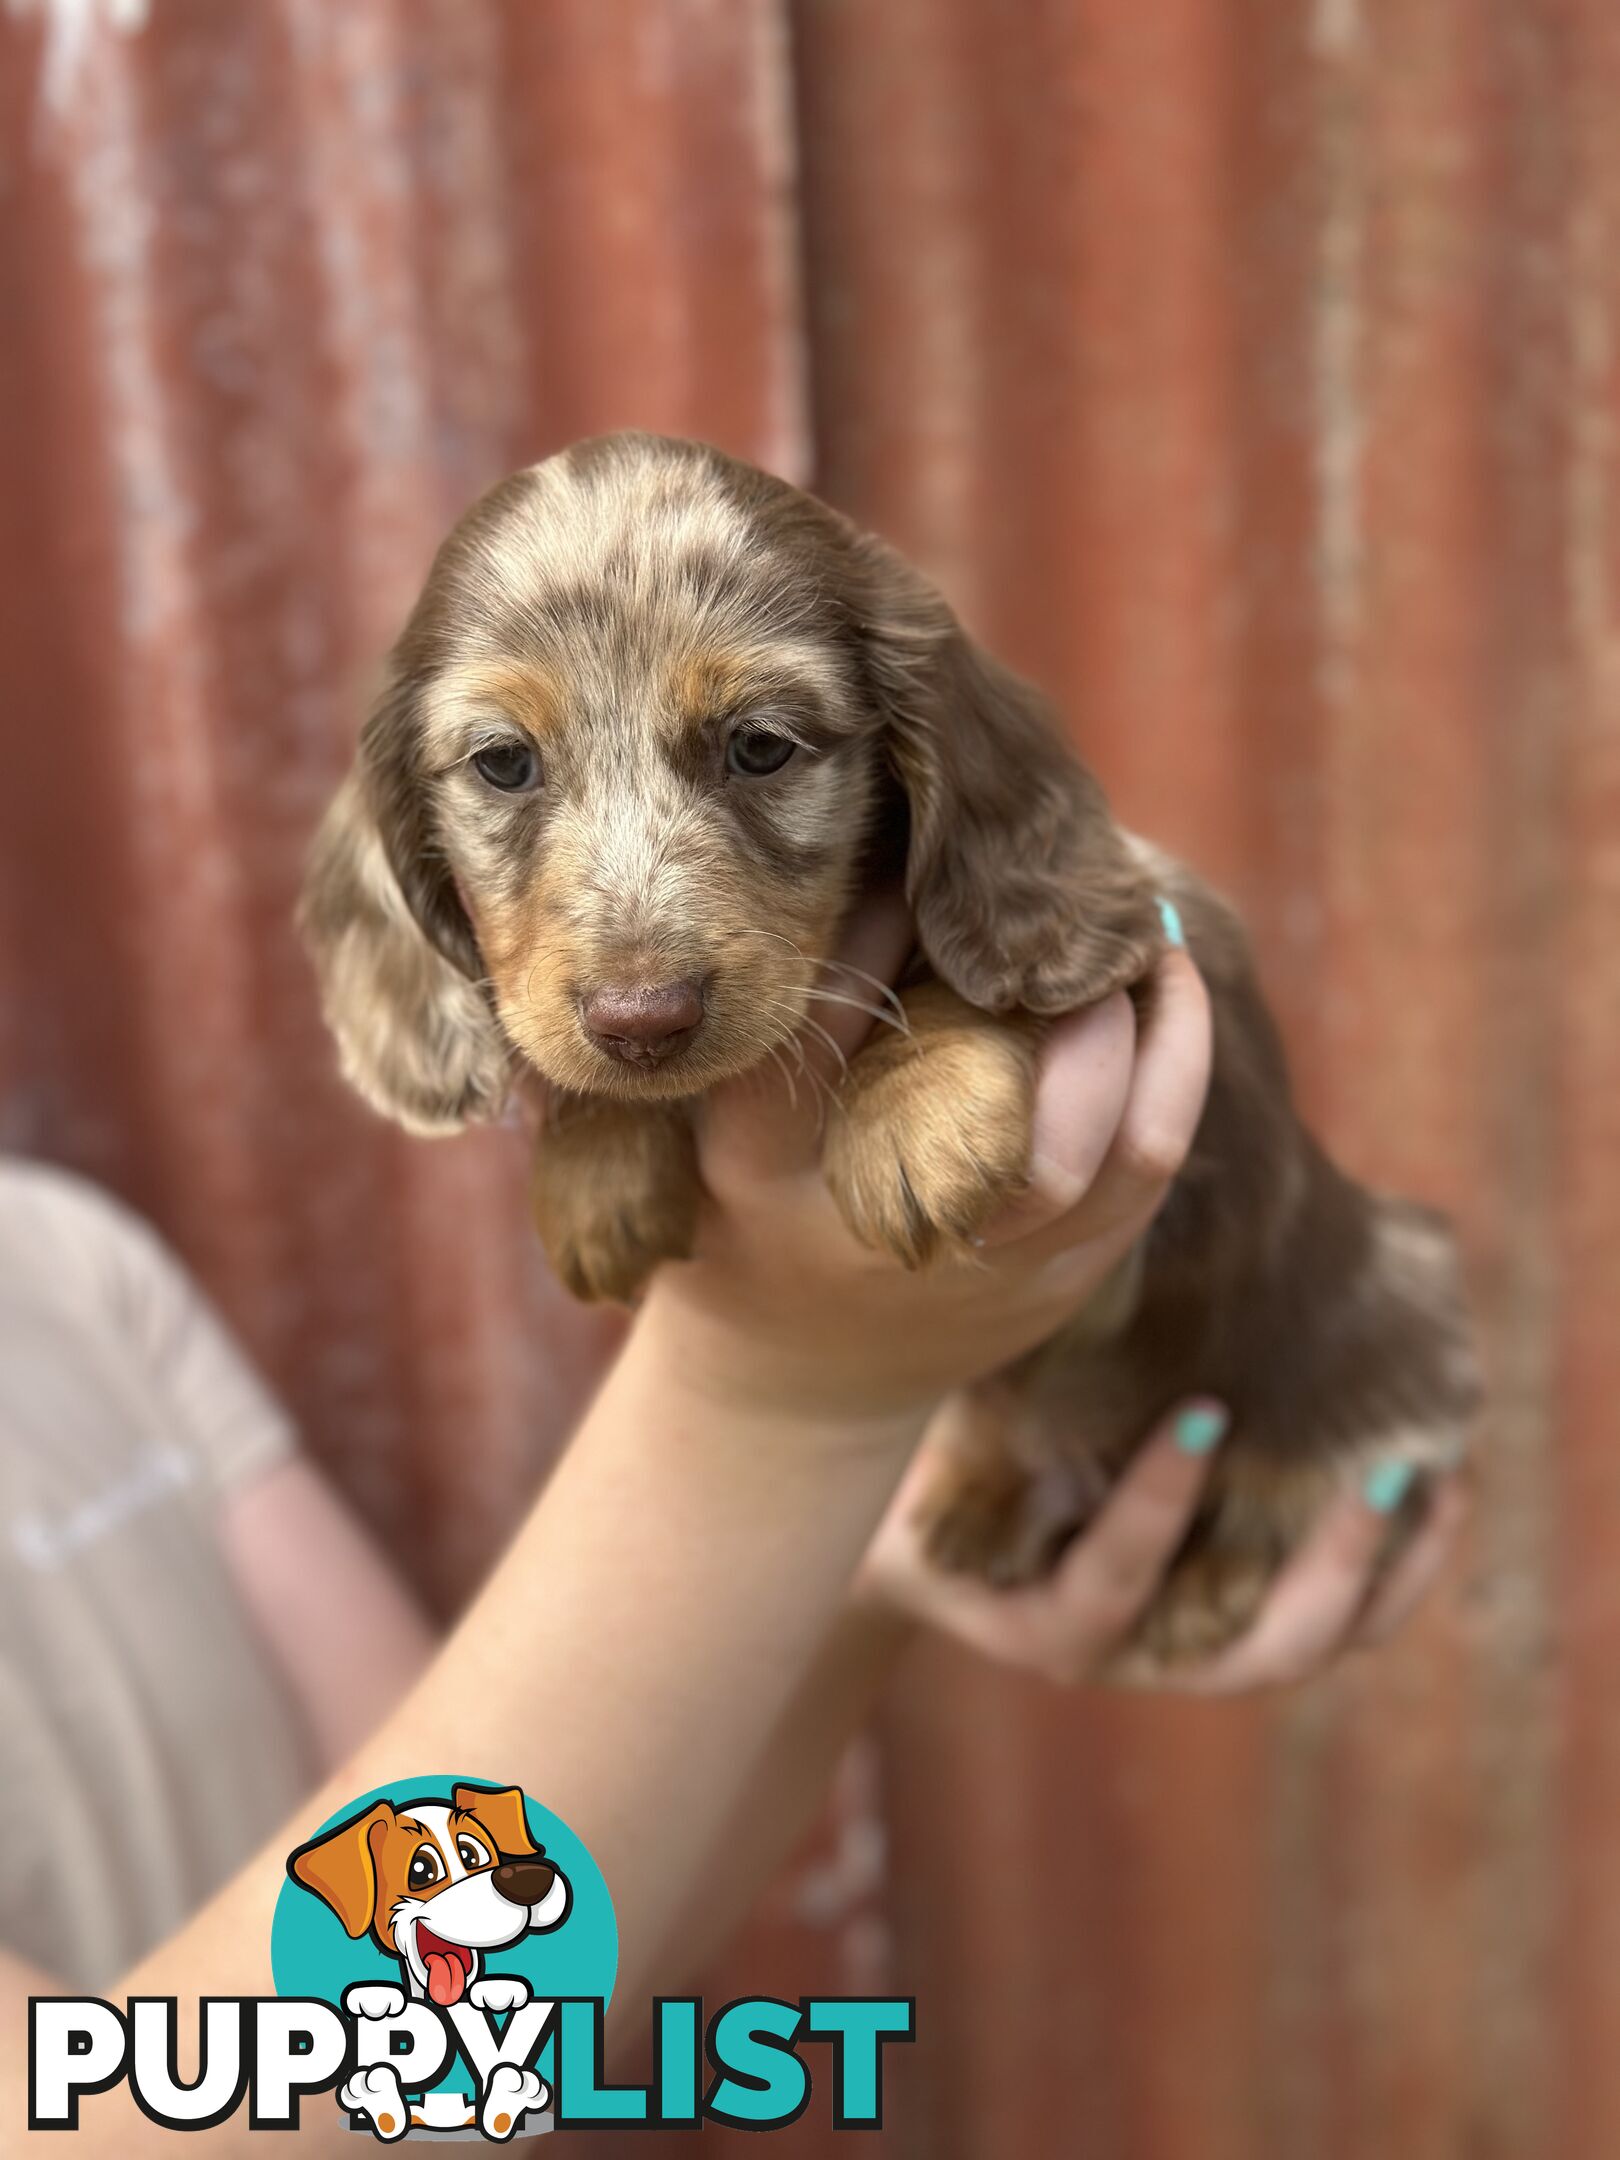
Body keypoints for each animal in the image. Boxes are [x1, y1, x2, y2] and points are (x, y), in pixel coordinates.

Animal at [302, 429, 1486, 1658]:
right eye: (502, 763)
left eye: (761, 746)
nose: (646, 1018)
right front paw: (599, 1164)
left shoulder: (1164, 945)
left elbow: (958, 966)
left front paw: (917, 1117)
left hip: (1395, 1321)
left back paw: (1214, 1575)